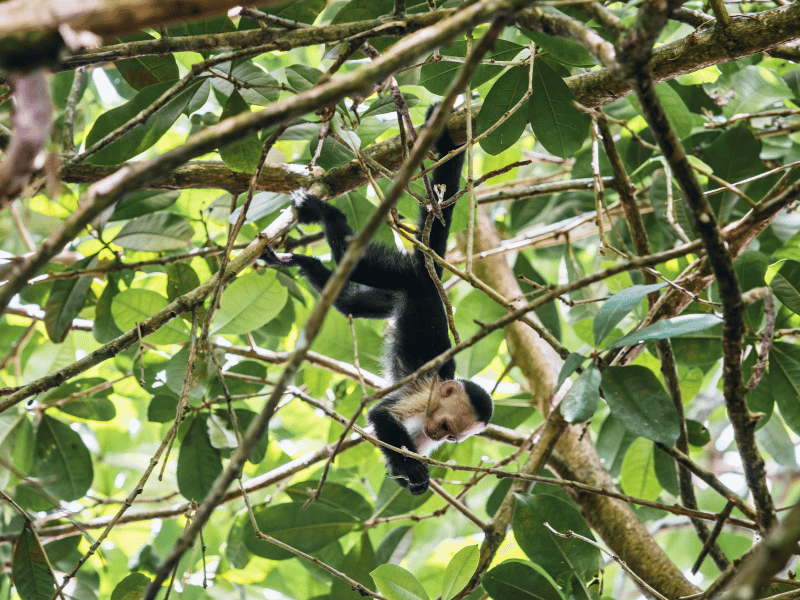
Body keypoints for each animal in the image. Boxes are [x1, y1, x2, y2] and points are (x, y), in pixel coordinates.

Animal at [263, 108, 493, 495]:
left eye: (450, 438)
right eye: (448, 429)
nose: (438, 436)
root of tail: (431, 275)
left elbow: (404, 443)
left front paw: (408, 474)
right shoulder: (422, 396)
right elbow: (379, 414)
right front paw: (415, 473)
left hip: (399, 290)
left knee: (353, 305)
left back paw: (307, 266)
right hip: (408, 276)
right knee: (359, 261)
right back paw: (324, 214)